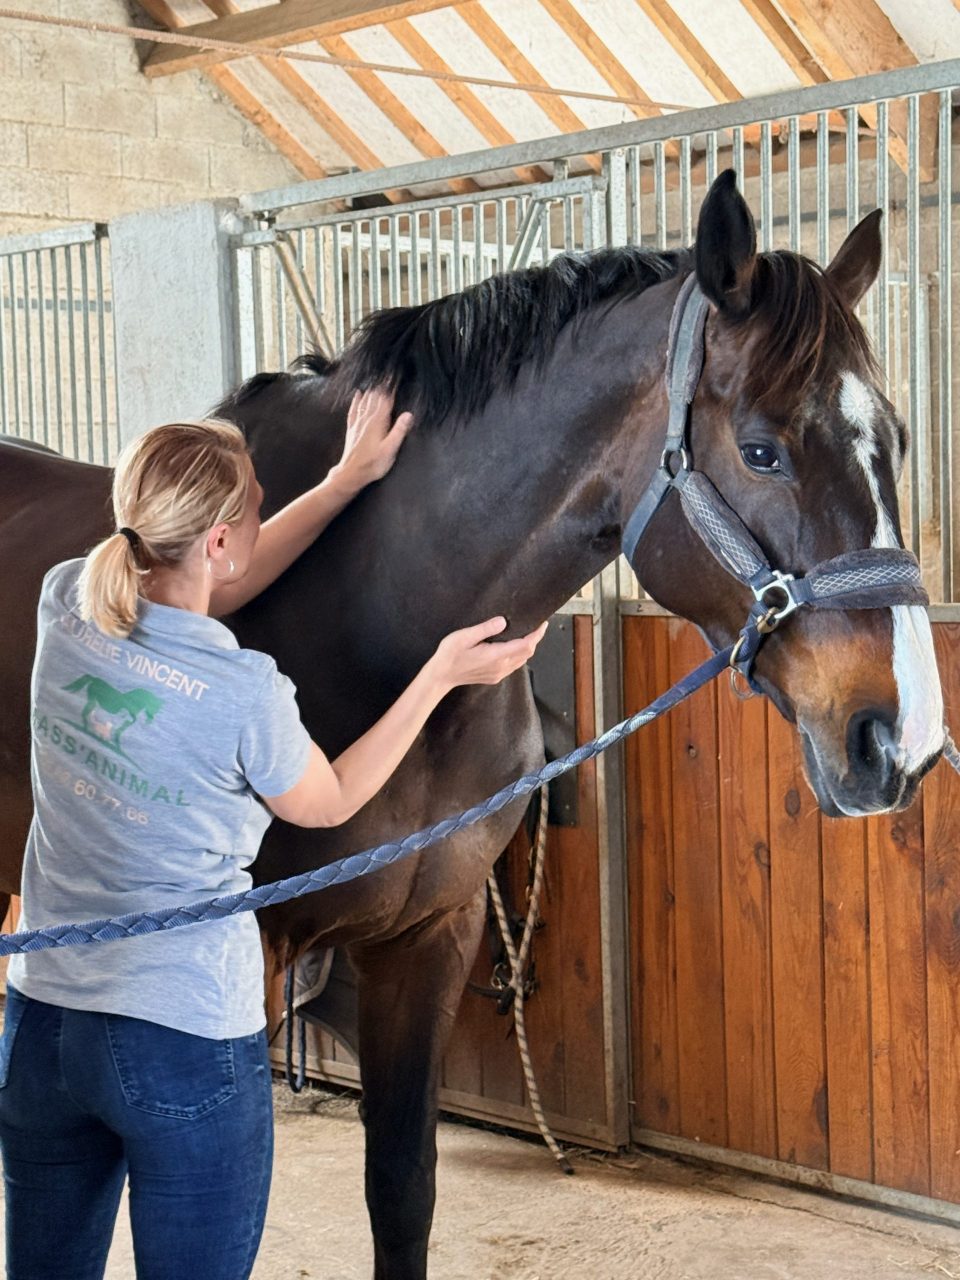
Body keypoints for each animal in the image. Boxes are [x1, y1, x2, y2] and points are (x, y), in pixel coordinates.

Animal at [0, 171, 943, 1278]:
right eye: (762, 450)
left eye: (897, 441)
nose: (903, 739)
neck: (374, 601)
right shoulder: (248, 960)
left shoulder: (432, 939)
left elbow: (403, 1189)